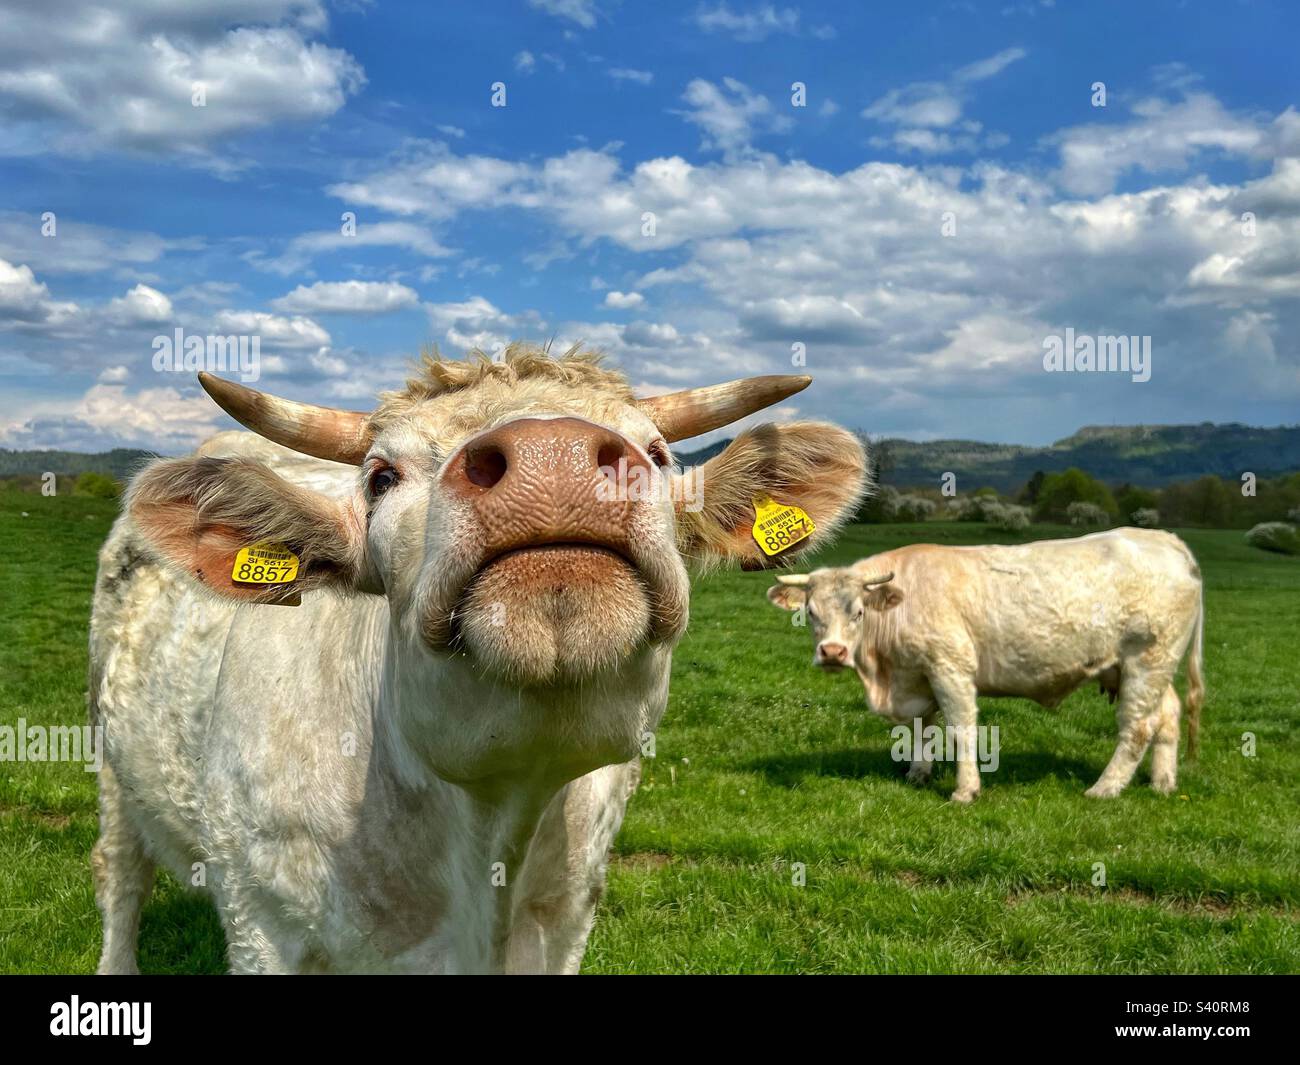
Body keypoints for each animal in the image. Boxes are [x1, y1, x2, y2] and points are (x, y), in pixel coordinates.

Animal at [88, 345, 866, 974]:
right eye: (381, 477)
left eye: (658, 452)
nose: (552, 455)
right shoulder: (261, 924)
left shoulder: (567, 919)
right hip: (113, 762)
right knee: (122, 876)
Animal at [766, 528, 1204, 803]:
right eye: (810, 612)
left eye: (858, 612)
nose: (832, 652)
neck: (884, 676)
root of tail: (1163, 539)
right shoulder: (917, 677)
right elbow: (921, 729)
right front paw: (917, 774)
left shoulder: (950, 666)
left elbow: (960, 730)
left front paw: (965, 791)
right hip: (1146, 668)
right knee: (1167, 716)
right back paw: (1163, 784)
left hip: (1147, 660)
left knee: (1138, 727)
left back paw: (1105, 789)